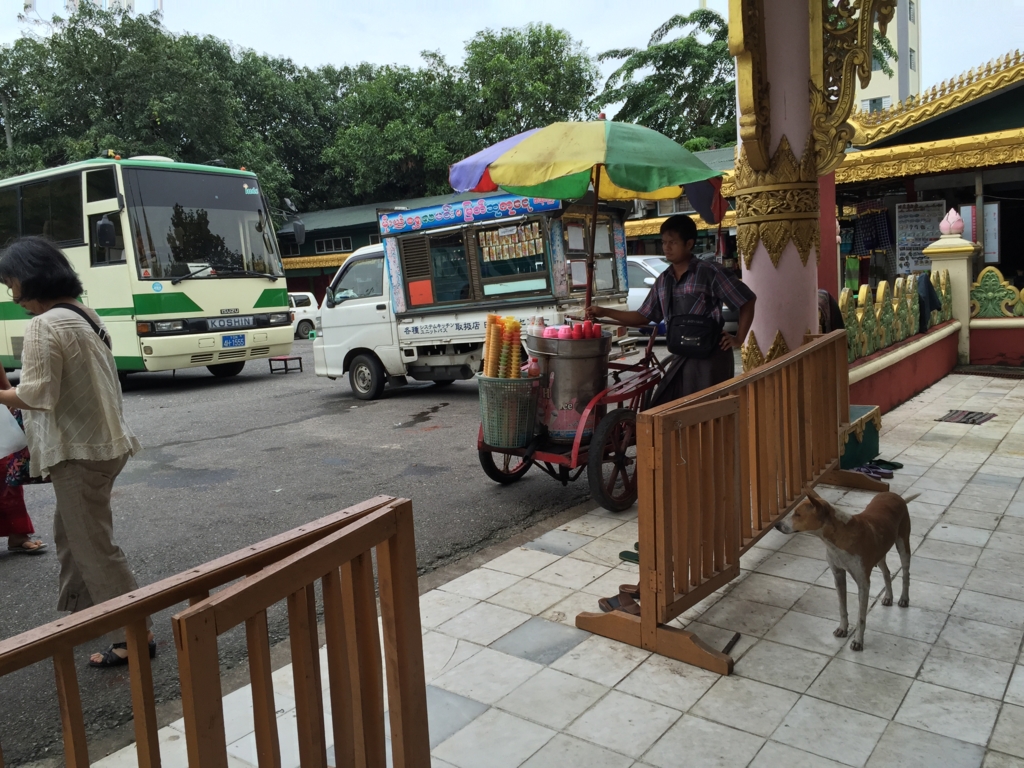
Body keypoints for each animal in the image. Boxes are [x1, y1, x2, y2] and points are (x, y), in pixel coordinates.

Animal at [774, 489, 921, 651]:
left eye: (798, 514)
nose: (776, 524)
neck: (838, 538)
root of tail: (895, 495)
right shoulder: (838, 575)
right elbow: (842, 608)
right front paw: (842, 629)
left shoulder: (863, 583)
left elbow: (861, 617)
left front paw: (858, 641)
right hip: (880, 552)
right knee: (887, 572)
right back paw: (888, 597)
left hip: (903, 544)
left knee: (906, 573)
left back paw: (904, 598)